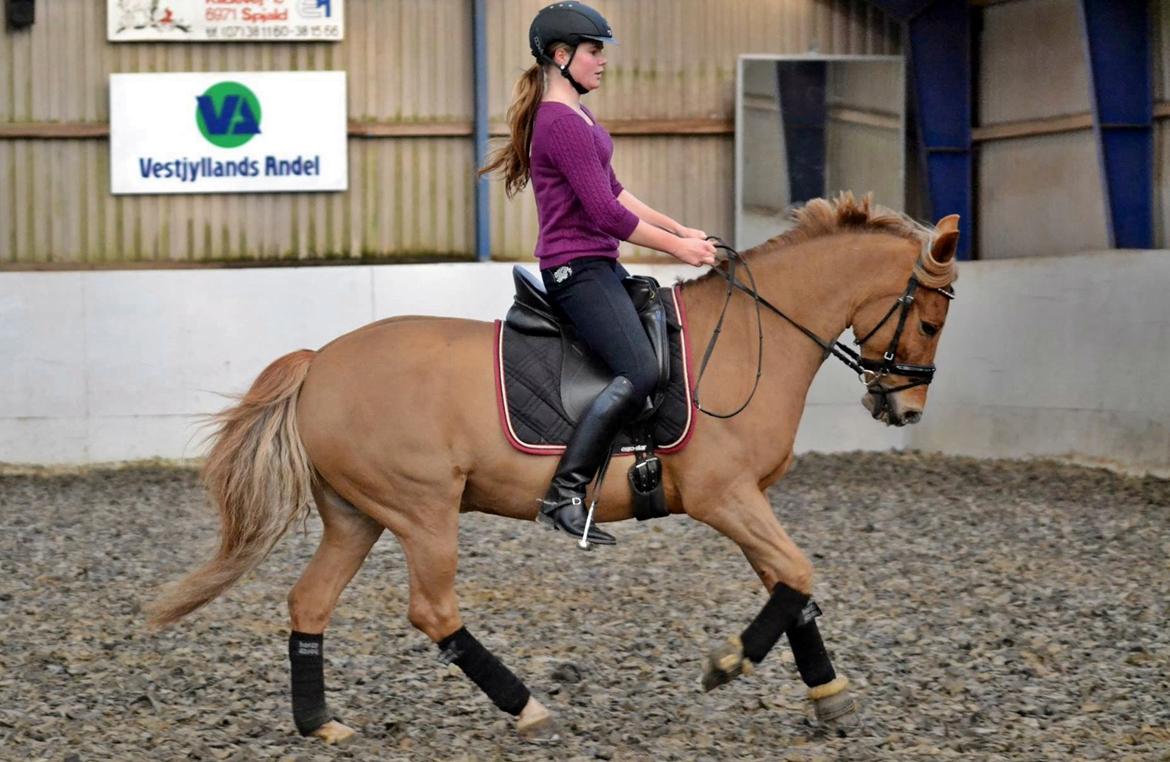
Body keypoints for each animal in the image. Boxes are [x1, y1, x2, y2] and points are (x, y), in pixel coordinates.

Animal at [148, 191, 959, 744]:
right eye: (928, 319)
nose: (905, 410)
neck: (749, 339)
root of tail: (319, 362)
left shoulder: (748, 500)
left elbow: (792, 588)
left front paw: (829, 693)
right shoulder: (724, 496)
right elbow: (796, 574)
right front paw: (728, 664)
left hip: (357, 517)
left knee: (310, 603)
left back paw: (321, 722)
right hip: (422, 511)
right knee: (433, 612)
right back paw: (528, 707)